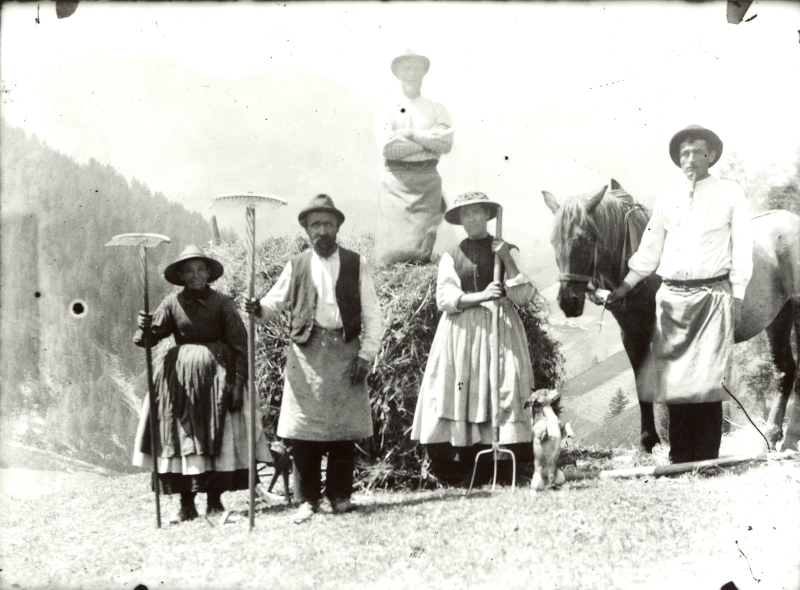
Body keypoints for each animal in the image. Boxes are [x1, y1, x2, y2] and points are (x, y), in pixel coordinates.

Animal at [542, 179, 800, 452]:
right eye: (554, 241)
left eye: (586, 238)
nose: (568, 301)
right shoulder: (632, 339)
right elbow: (642, 385)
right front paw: (648, 441)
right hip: (778, 317)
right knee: (785, 370)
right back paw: (771, 434)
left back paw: (791, 436)